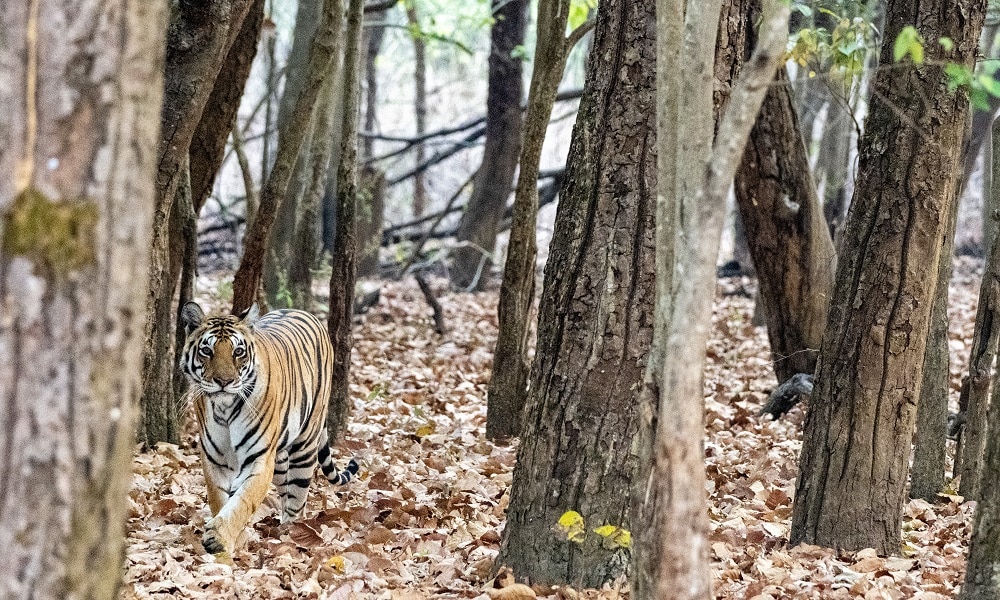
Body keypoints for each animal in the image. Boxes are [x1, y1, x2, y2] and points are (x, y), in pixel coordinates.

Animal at [179, 301, 358, 555]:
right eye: (207, 351)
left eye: (238, 352)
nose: (223, 381)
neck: (224, 409)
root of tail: (301, 311)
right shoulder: (214, 461)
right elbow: (220, 500)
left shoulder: (259, 459)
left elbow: (242, 501)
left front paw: (219, 538)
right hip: (281, 458)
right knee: (286, 490)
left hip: (305, 444)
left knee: (297, 498)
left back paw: (291, 532)